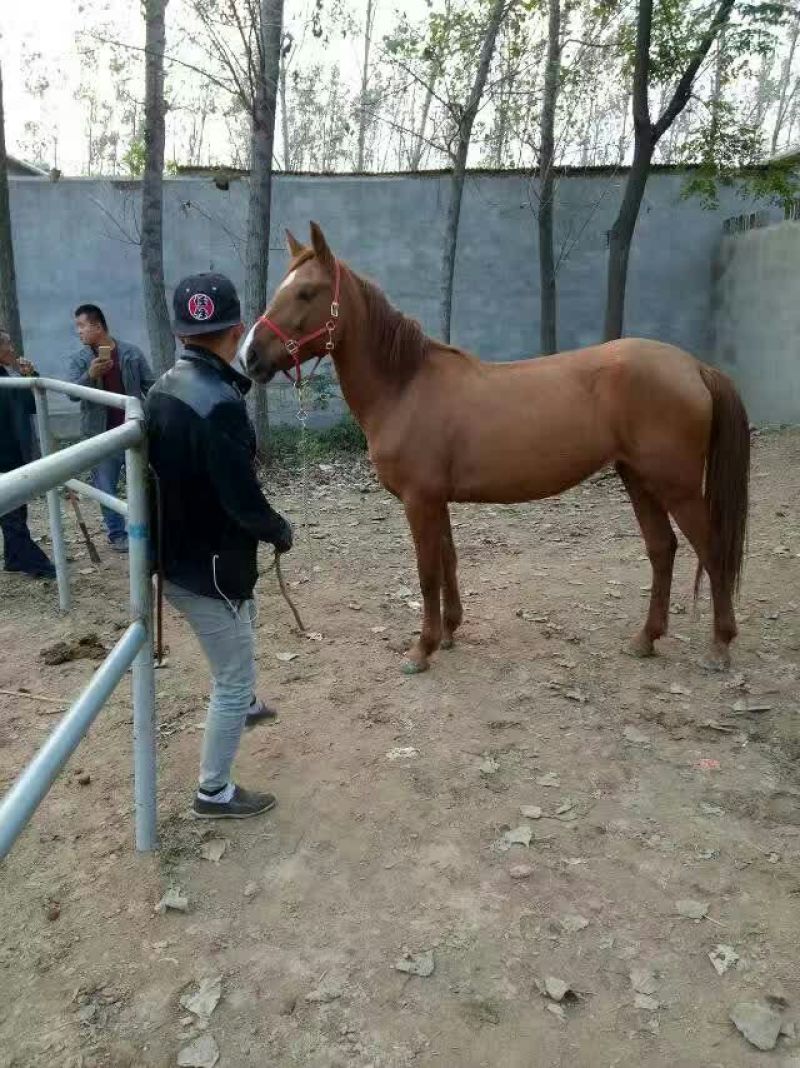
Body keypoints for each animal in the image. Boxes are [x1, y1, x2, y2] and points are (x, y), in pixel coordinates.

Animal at [241, 222, 750, 676]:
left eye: (306, 293)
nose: (250, 357)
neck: (405, 387)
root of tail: (694, 366)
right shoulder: (436, 500)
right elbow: (448, 560)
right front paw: (448, 632)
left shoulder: (419, 501)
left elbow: (427, 571)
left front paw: (421, 649)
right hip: (638, 477)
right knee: (662, 548)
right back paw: (646, 639)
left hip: (675, 484)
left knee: (711, 549)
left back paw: (720, 646)